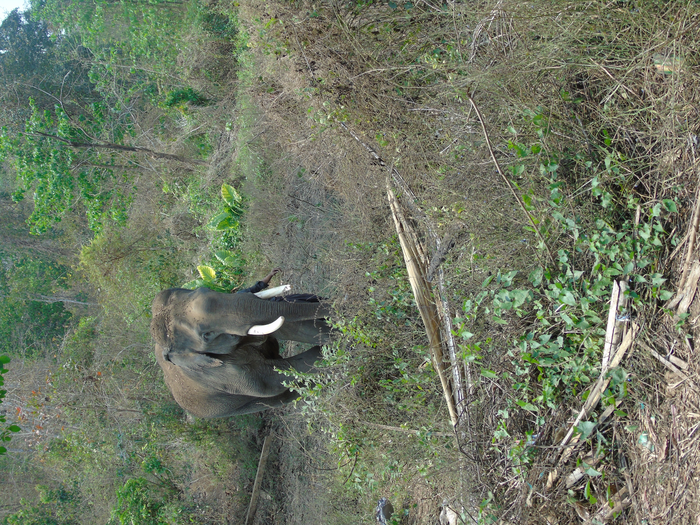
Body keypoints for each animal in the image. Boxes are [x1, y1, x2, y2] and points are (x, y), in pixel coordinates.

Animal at [149, 286, 330, 418]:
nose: (331, 302)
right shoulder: (222, 374)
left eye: (204, 289)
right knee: (281, 396)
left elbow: (292, 328)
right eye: (207, 336)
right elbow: (272, 380)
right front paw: (328, 351)